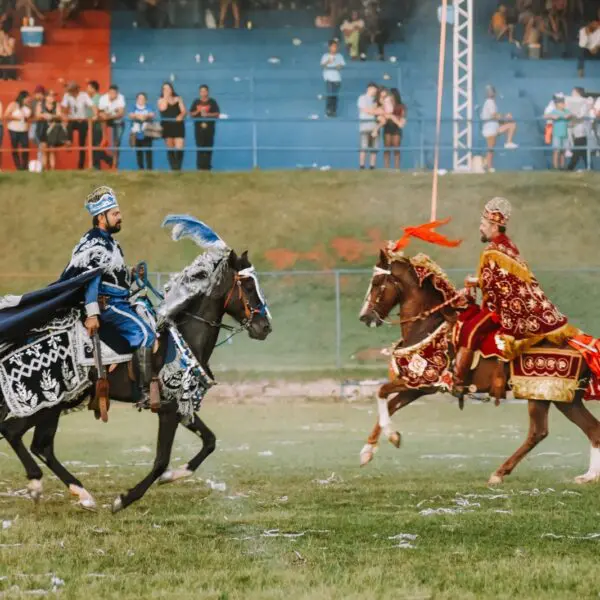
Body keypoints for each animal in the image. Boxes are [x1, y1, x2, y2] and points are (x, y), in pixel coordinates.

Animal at [358, 251, 600, 486]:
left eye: (377, 282)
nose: (365, 317)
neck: (428, 326)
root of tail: (579, 343)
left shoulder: (425, 380)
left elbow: (381, 392)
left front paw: (391, 437)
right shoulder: (417, 386)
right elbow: (390, 405)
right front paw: (368, 451)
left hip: (542, 393)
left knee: (538, 432)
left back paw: (499, 473)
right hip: (565, 399)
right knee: (592, 430)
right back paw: (588, 476)